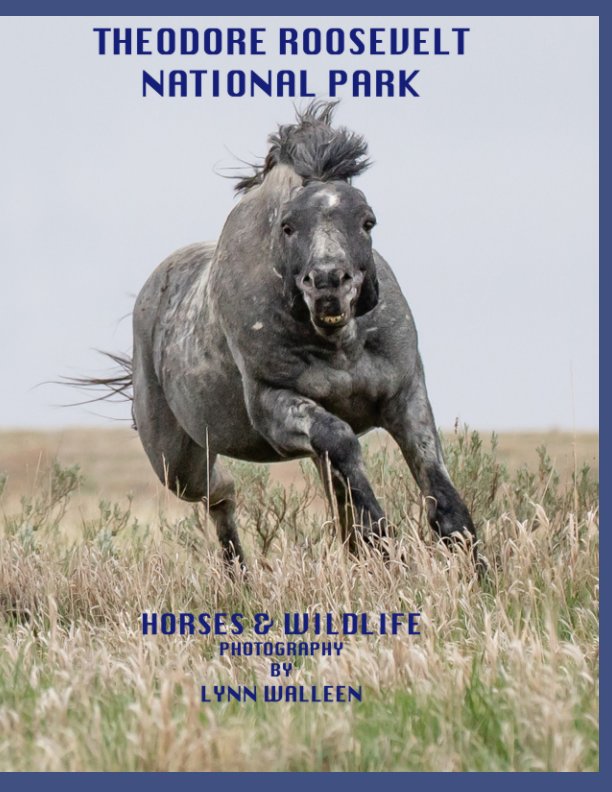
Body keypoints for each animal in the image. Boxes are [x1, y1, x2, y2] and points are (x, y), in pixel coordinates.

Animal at [92, 102, 478, 568]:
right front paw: (383, 543)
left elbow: (441, 496)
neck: (341, 346)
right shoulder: (274, 406)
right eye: (289, 226)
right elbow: (341, 445)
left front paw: (476, 572)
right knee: (221, 493)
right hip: (176, 461)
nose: (327, 283)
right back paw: (239, 571)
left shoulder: (405, 397)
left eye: (367, 221)